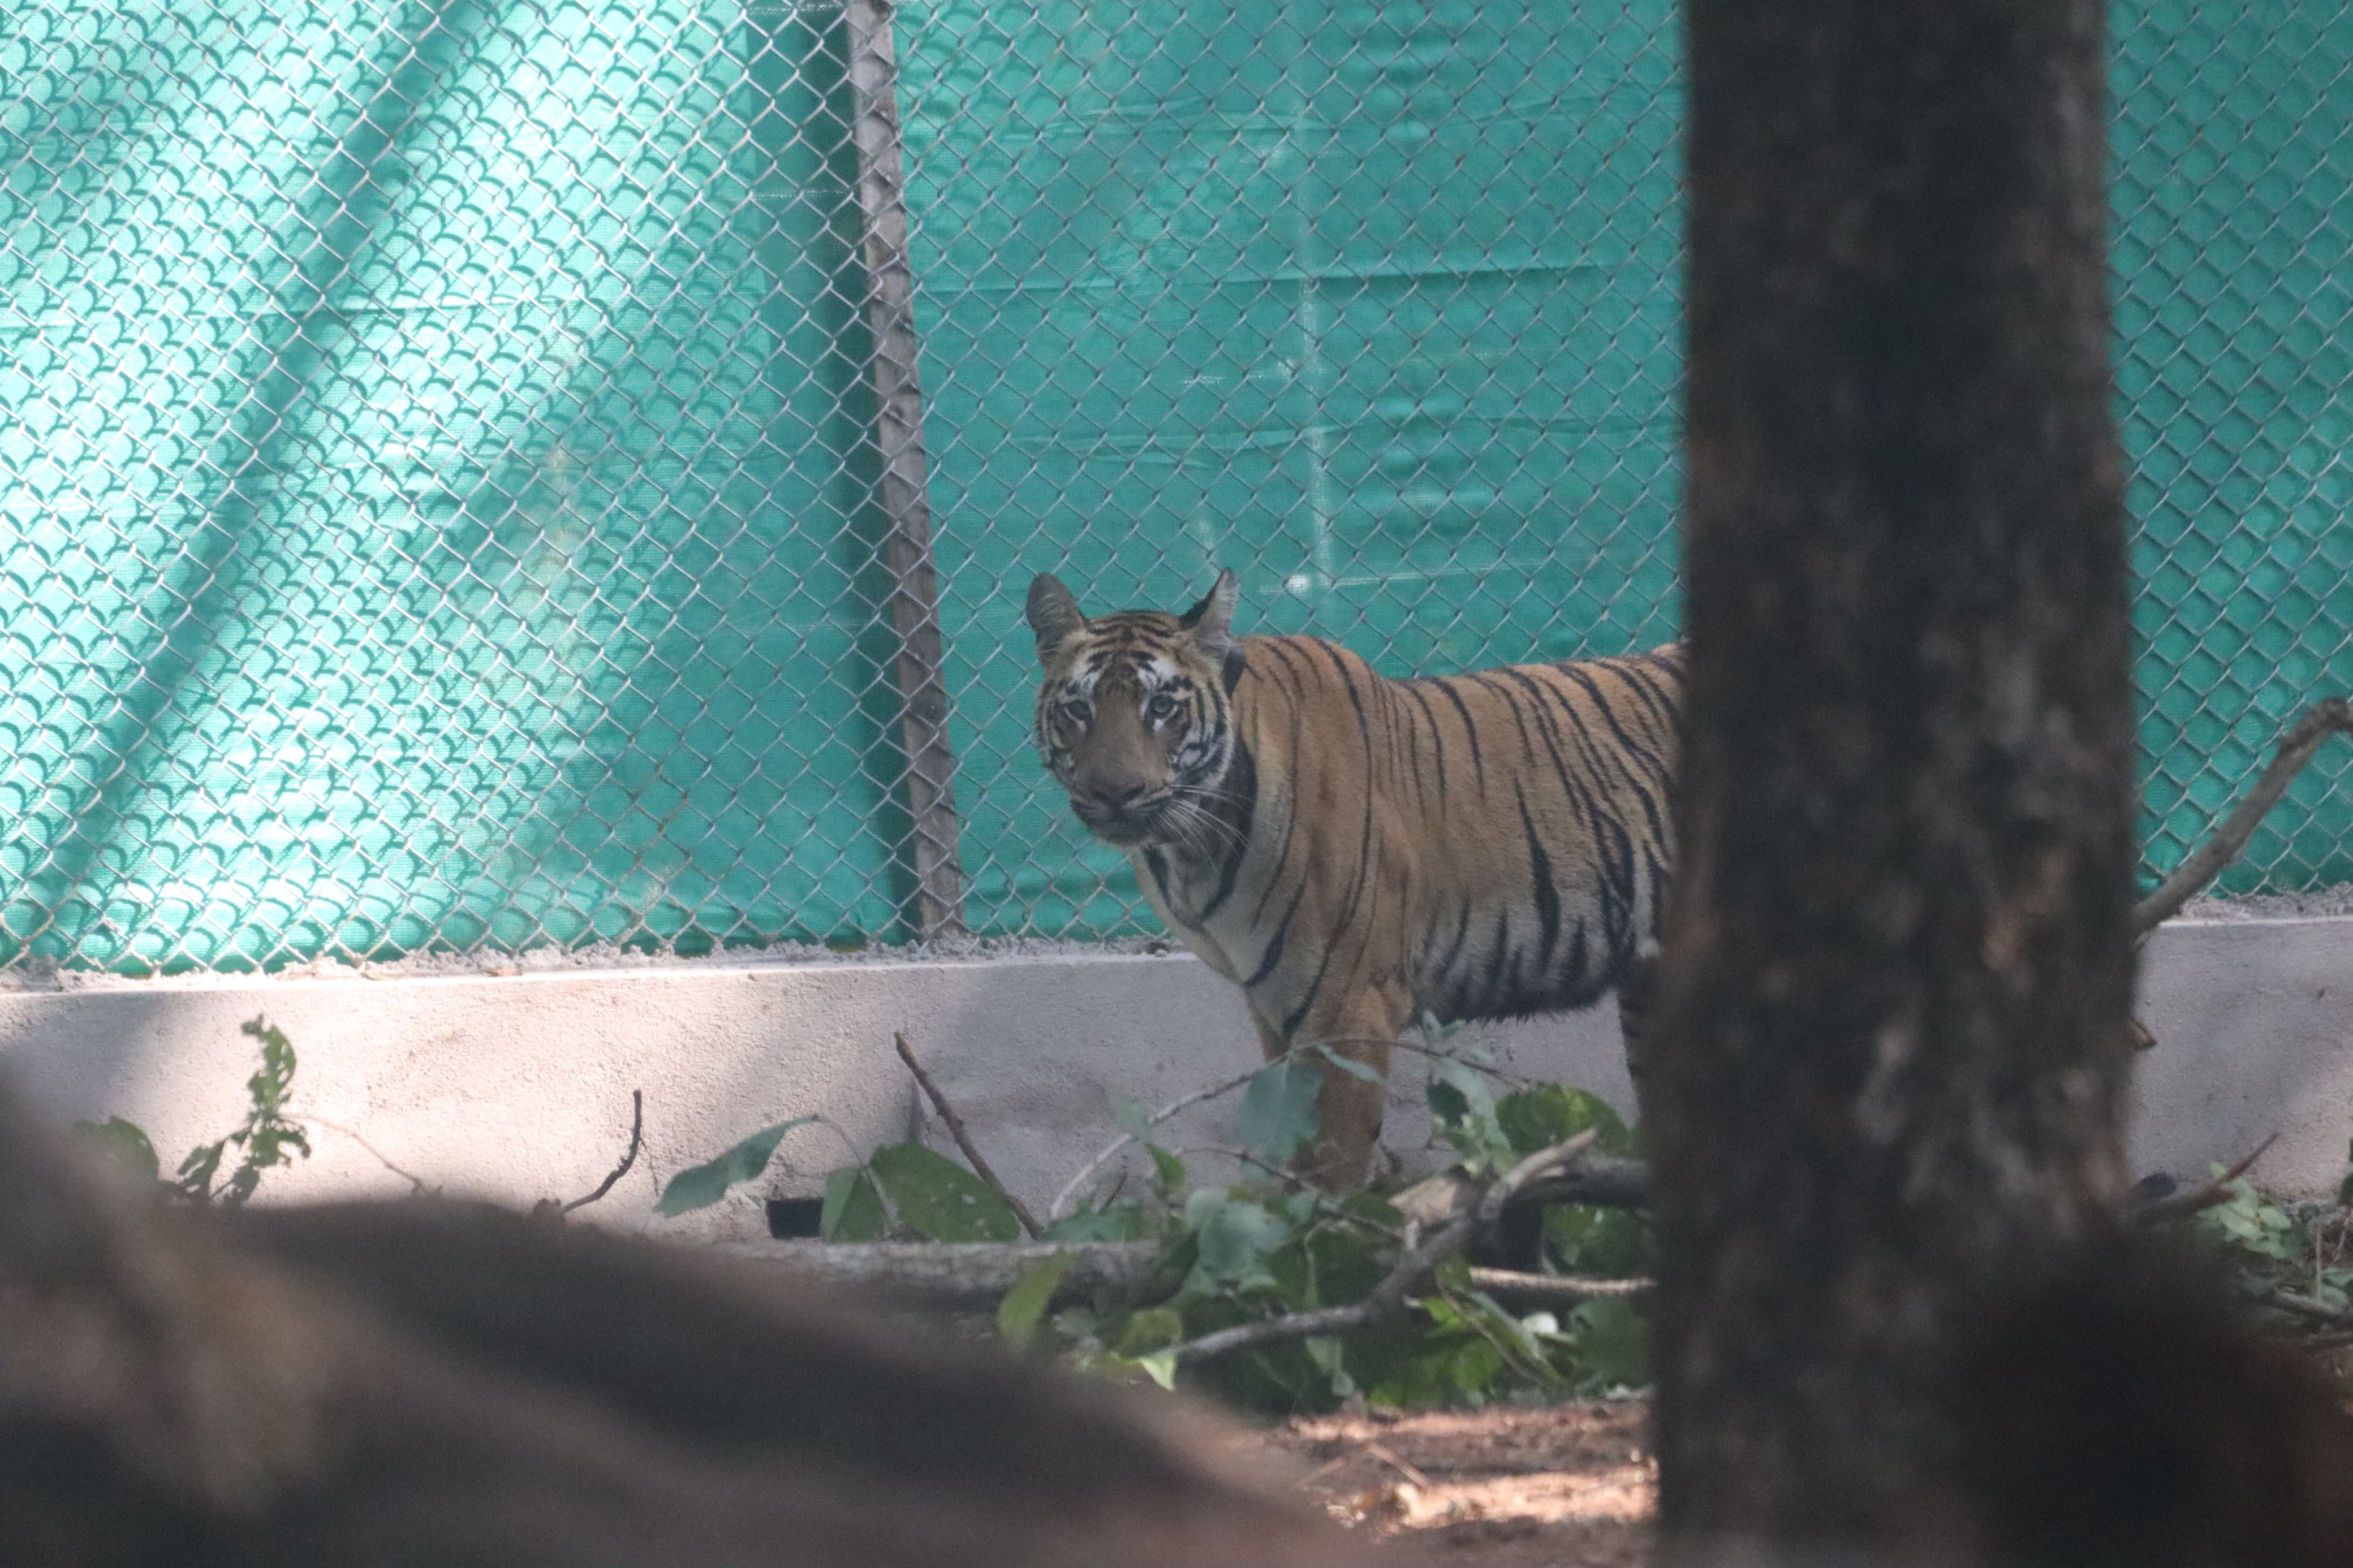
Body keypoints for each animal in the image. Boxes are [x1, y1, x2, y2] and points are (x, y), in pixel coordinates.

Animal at [1021, 566, 1684, 1189]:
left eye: (1160, 707)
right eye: (1078, 709)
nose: (1113, 793)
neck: (1190, 847)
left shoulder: (1348, 1008)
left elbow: (1330, 1172)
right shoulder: (1275, 1008)